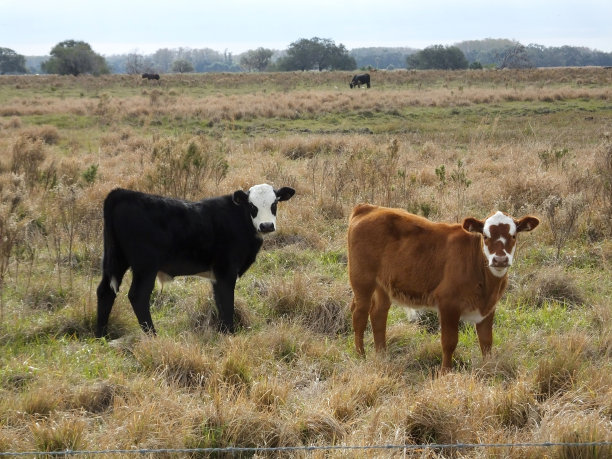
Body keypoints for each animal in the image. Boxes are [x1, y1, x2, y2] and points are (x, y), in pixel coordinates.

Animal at [346, 207, 536, 372]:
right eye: (486, 235)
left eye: (513, 235)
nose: (500, 260)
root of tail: (369, 208)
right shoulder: (448, 304)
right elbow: (449, 342)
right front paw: (445, 372)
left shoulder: (488, 307)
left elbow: (486, 341)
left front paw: (488, 368)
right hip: (362, 281)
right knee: (359, 314)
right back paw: (361, 356)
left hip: (383, 285)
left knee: (378, 315)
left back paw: (382, 355)